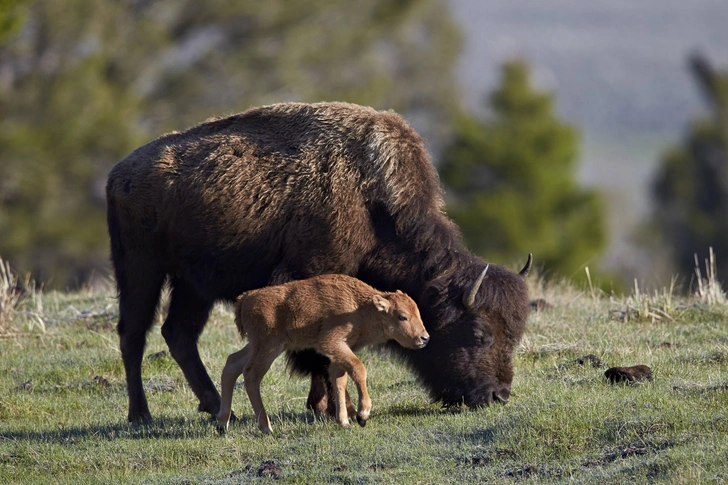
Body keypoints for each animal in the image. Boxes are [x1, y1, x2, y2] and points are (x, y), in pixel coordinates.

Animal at [219, 274, 430, 432]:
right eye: (402, 317)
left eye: (418, 313)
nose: (424, 338)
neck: (359, 305)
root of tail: (245, 298)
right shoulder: (331, 343)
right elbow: (358, 369)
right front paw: (362, 415)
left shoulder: (340, 351)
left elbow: (339, 378)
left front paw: (343, 421)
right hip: (268, 348)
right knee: (251, 375)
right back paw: (266, 427)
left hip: (257, 346)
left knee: (232, 364)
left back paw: (222, 424)